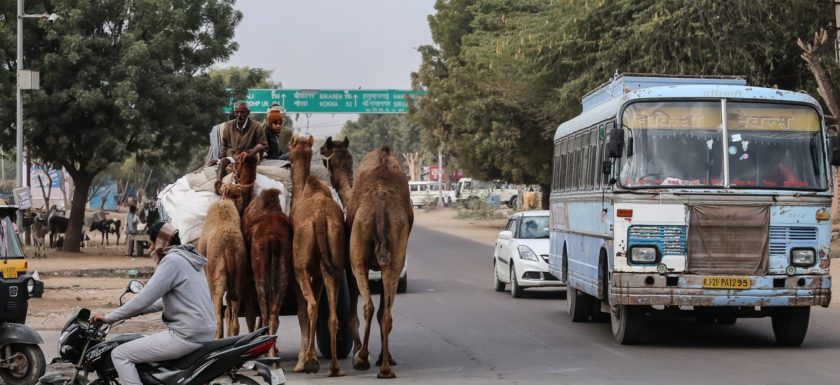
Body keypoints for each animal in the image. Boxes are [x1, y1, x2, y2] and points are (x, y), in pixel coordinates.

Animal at [241, 188, 294, 356]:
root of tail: (274, 240)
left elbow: (251, 314)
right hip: (282, 274)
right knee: (273, 316)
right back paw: (272, 351)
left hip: (260, 274)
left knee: (264, 314)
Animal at [344, 143, 414, 376]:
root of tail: (381, 210)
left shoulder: (350, 266)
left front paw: (358, 350)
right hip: (395, 256)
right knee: (385, 313)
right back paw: (385, 367)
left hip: (359, 258)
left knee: (368, 307)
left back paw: (362, 358)